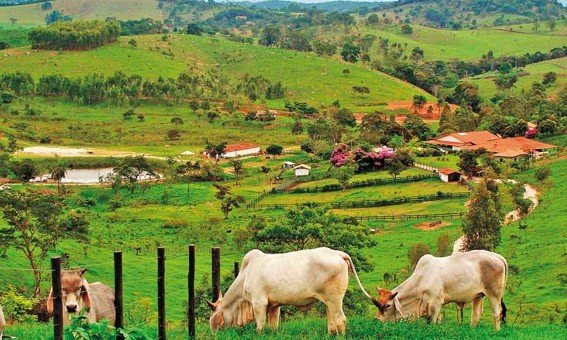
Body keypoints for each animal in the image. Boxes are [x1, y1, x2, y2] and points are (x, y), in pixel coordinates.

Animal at [209, 247, 378, 334]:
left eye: (212, 321)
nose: (214, 335)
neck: (246, 274)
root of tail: (337, 253)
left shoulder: (258, 303)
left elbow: (260, 326)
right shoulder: (274, 306)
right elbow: (273, 325)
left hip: (335, 300)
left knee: (340, 320)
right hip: (329, 302)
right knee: (332, 322)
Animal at [372, 248, 510, 330]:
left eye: (388, 306)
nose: (377, 321)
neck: (421, 280)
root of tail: (498, 256)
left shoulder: (435, 303)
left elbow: (432, 322)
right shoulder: (436, 305)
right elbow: (438, 321)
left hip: (494, 294)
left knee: (497, 313)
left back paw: (496, 331)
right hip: (478, 295)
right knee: (476, 315)